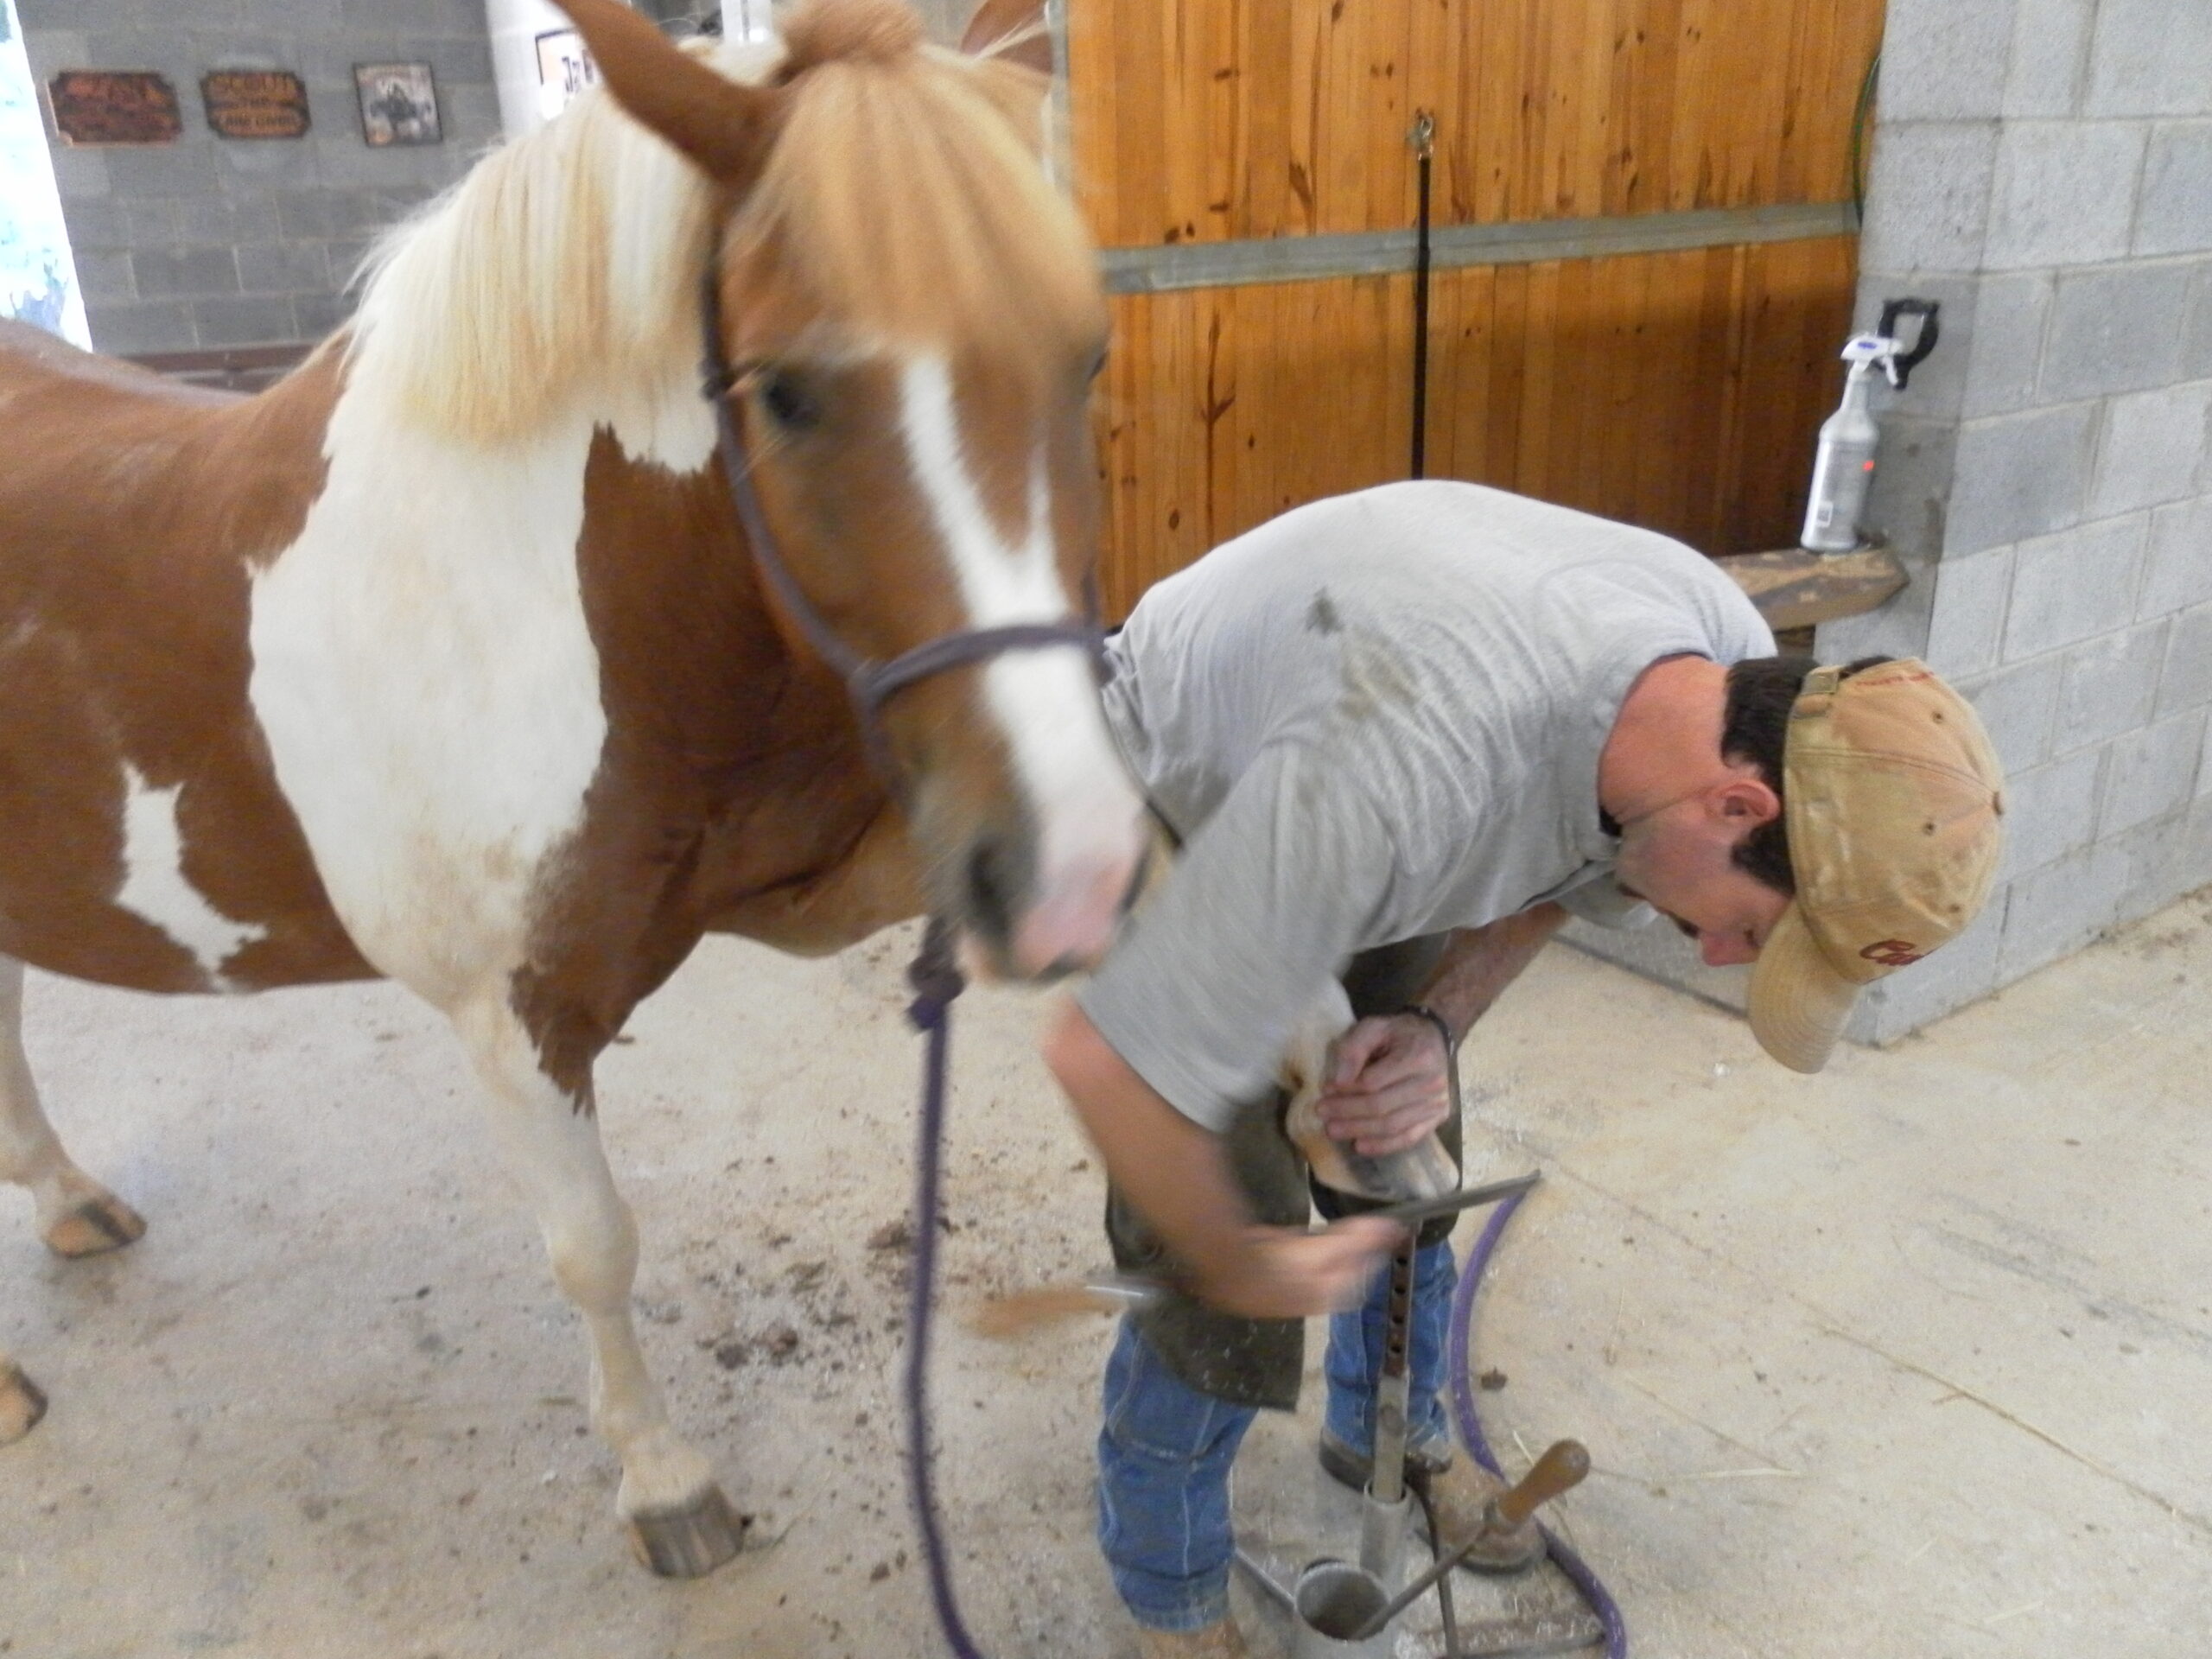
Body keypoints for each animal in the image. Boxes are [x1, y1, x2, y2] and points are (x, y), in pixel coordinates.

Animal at [0, 0, 1147, 1578]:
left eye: (1084, 359)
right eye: (785, 391)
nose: (1075, 871)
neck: (522, 592)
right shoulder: (513, 1014)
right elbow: (595, 1246)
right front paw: (665, 1482)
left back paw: (66, 1205)